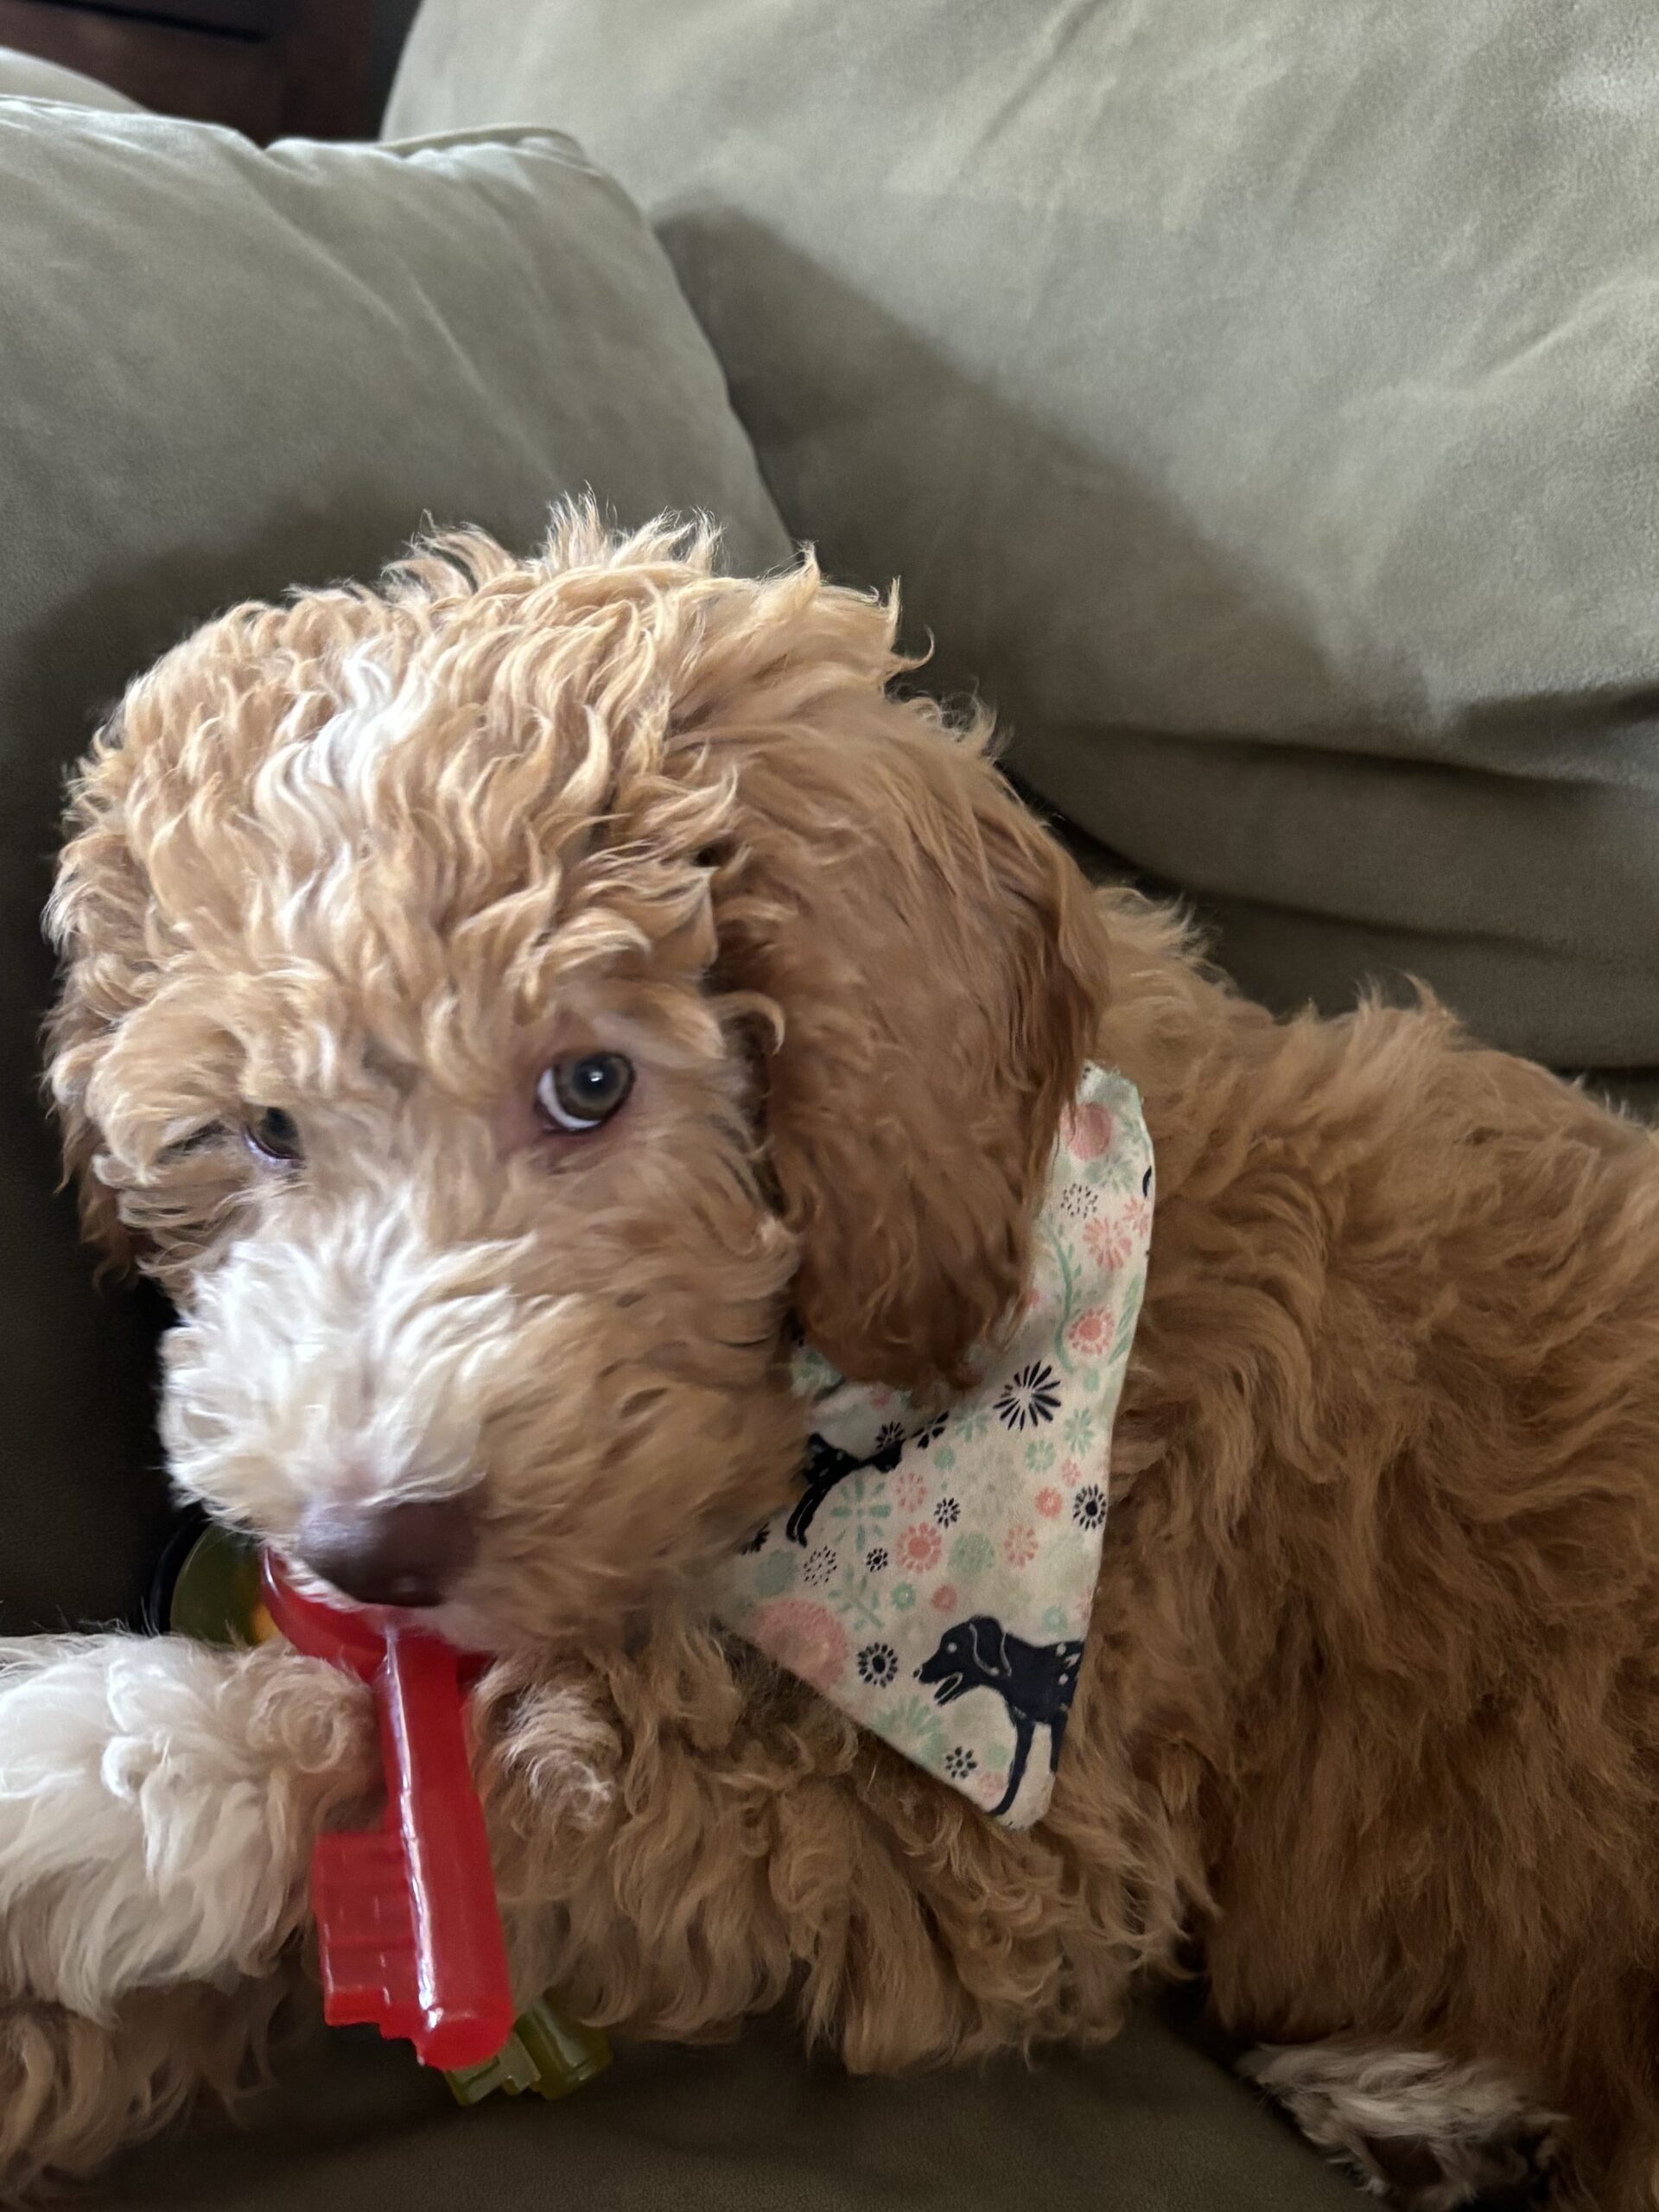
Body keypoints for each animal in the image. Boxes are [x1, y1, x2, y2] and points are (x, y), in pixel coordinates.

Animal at [10, 508, 1659, 2202]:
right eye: (262, 1130)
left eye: (593, 1083)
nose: (366, 1549)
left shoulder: (1020, 1827)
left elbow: (569, 1763)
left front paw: (131, 1767)